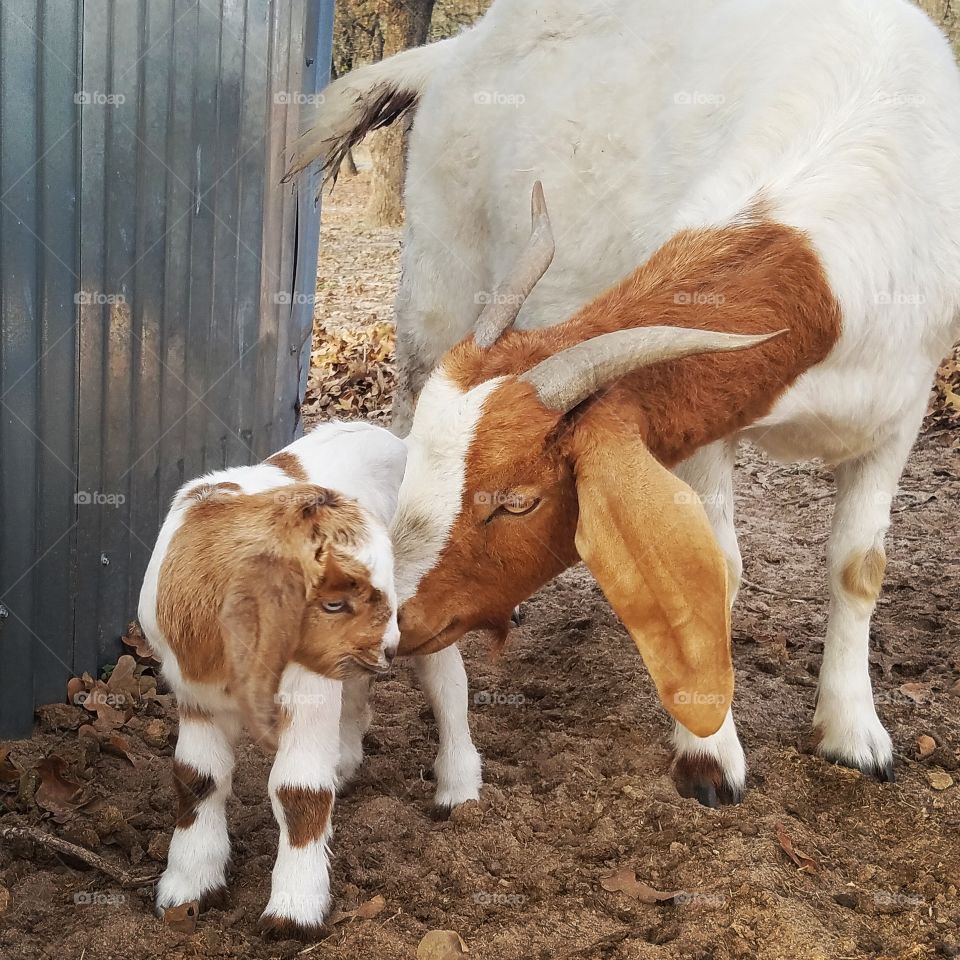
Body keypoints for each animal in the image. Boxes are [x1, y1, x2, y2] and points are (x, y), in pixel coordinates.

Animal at [139, 424, 404, 932]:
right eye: (334, 603)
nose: (390, 646)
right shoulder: (192, 691)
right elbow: (197, 776)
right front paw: (188, 887)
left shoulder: (309, 689)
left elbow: (299, 790)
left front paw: (295, 912)